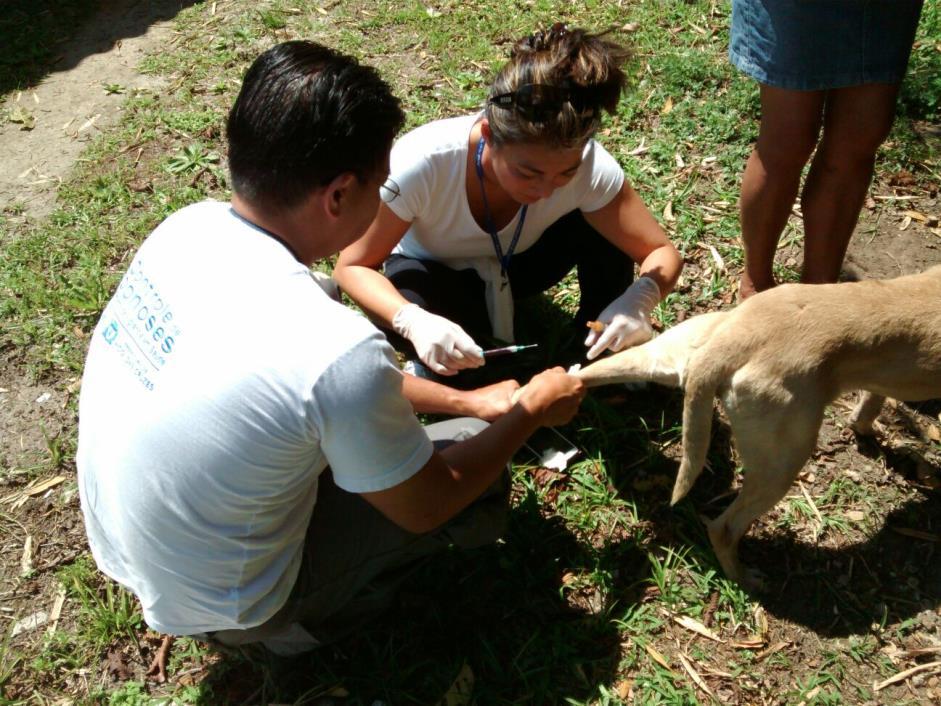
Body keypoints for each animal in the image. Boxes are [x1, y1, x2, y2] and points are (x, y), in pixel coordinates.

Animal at [572, 264, 940, 584]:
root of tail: (724, 348)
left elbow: (872, 401)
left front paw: (863, 428)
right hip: (783, 461)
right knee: (724, 528)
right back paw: (745, 580)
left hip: (658, 355)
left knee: (587, 372)